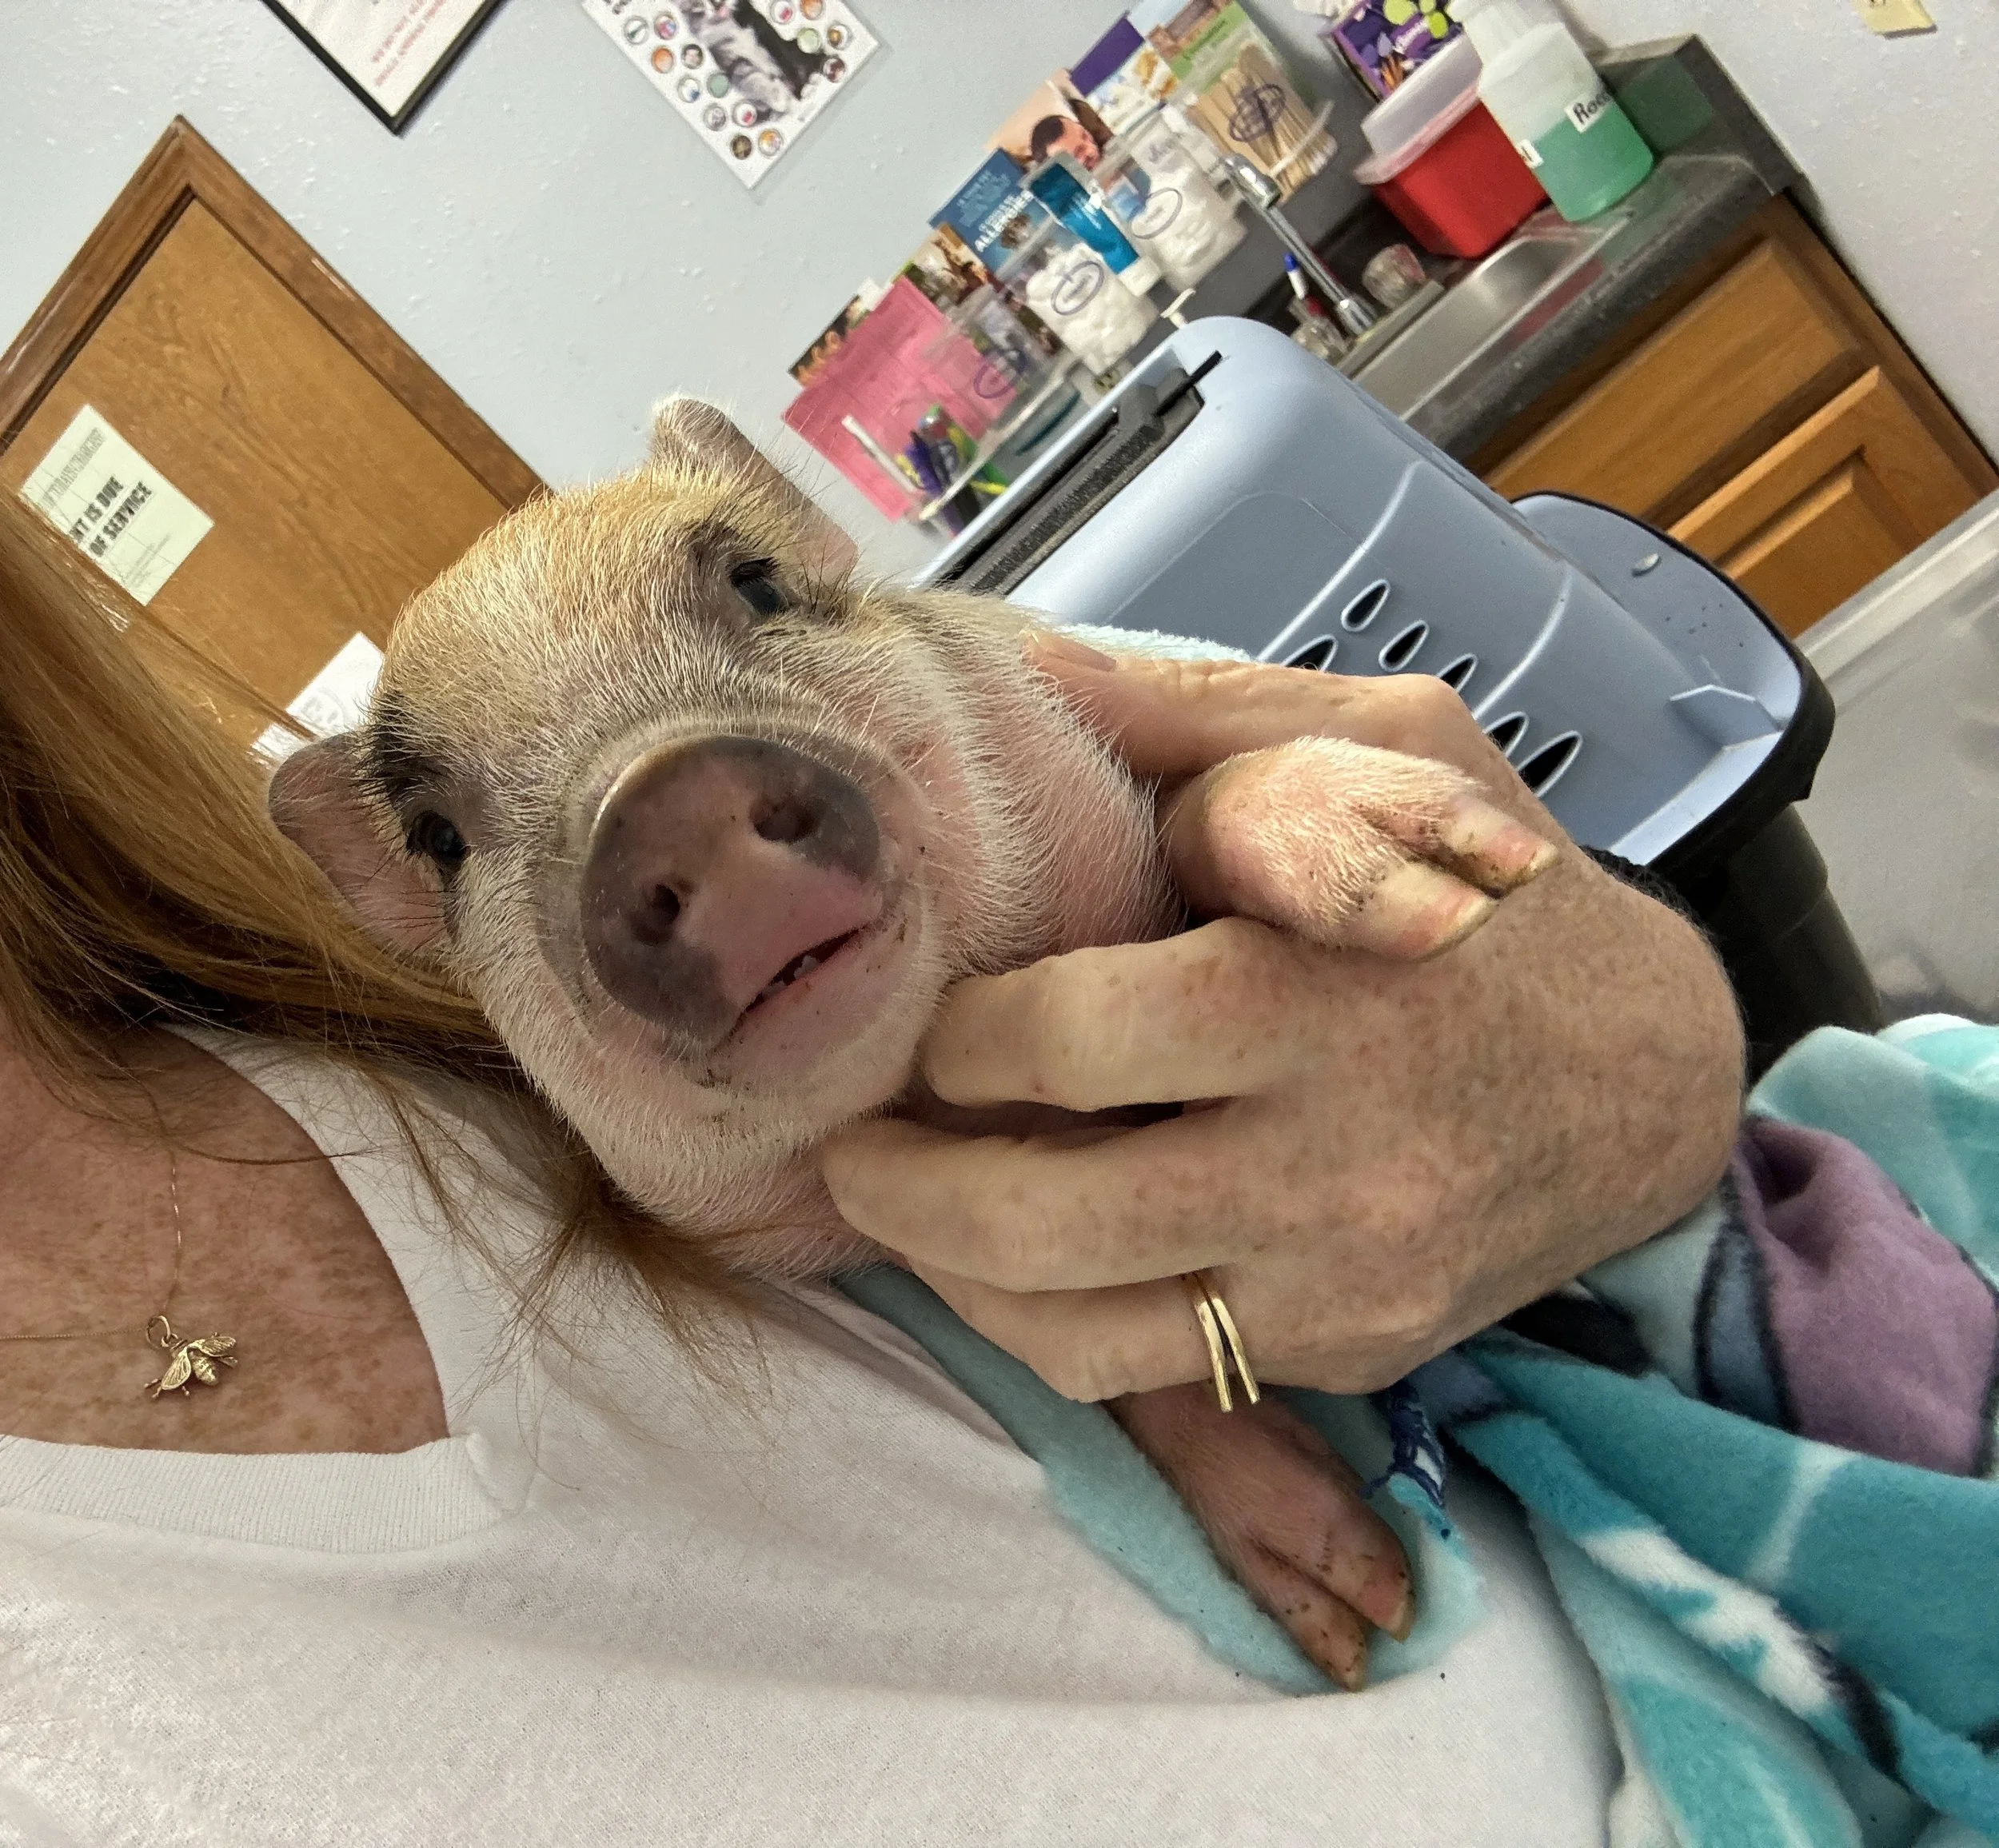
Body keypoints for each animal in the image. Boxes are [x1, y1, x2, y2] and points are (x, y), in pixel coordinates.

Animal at [270, 401, 1554, 1689]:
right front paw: (1355, 1625)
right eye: (440, 837)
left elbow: (1212, 795)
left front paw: (1460, 885)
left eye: (757, 584)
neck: (947, 1074)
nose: (663, 792)